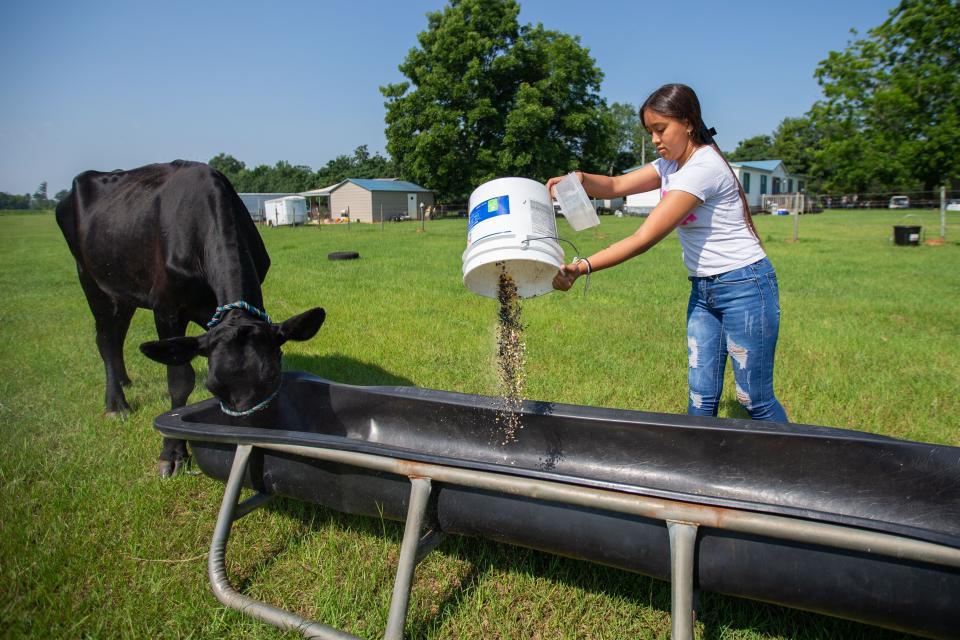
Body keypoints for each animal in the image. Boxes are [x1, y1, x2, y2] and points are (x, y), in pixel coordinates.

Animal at [57, 161, 326, 476]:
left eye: (273, 376)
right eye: (212, 387)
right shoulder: (166, 307)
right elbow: (179, 379)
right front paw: (172, 453)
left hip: (124, 290)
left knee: (118, 334)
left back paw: (125, 380)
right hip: (91, 280)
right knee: (106, 339)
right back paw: (116, 404)